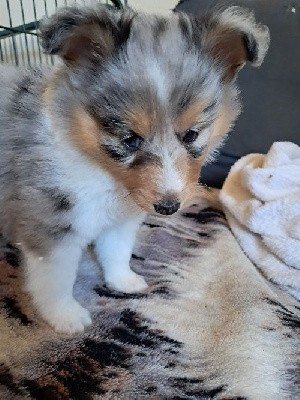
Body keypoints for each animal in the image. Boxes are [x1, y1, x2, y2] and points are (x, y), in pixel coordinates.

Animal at [0, 4, 270, 332]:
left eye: (192, 135)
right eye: (129, 139)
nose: (168, 207)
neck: (105, 175)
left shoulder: (121, 219)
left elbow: (116, 252)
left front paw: (125, 282)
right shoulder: (52, 223)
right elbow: (56, 281)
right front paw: (67, 317)